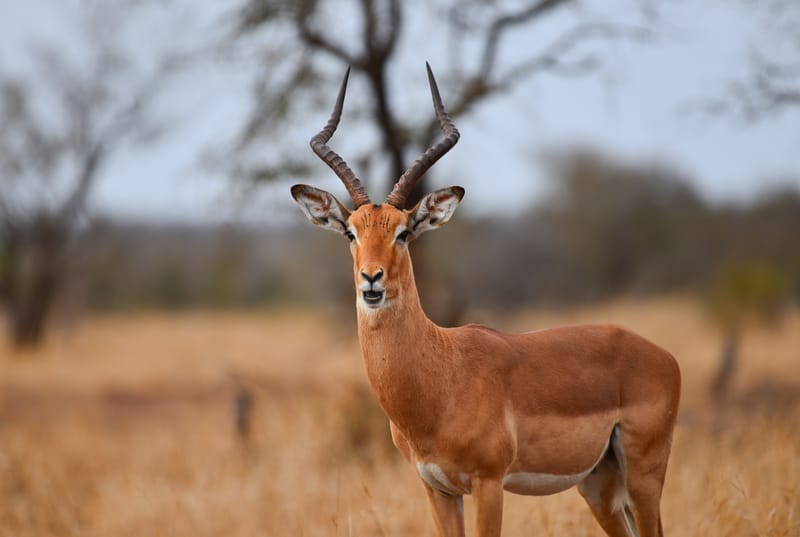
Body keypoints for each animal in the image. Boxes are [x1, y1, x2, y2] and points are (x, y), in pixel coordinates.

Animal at [290, 64, 681, 537]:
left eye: (403, 232)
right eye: (351, 232)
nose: (371, 279)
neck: (442, 375)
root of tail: (661, 355)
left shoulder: (489, 483)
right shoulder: (437, 489)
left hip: (643, 475)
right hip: (599, 485)